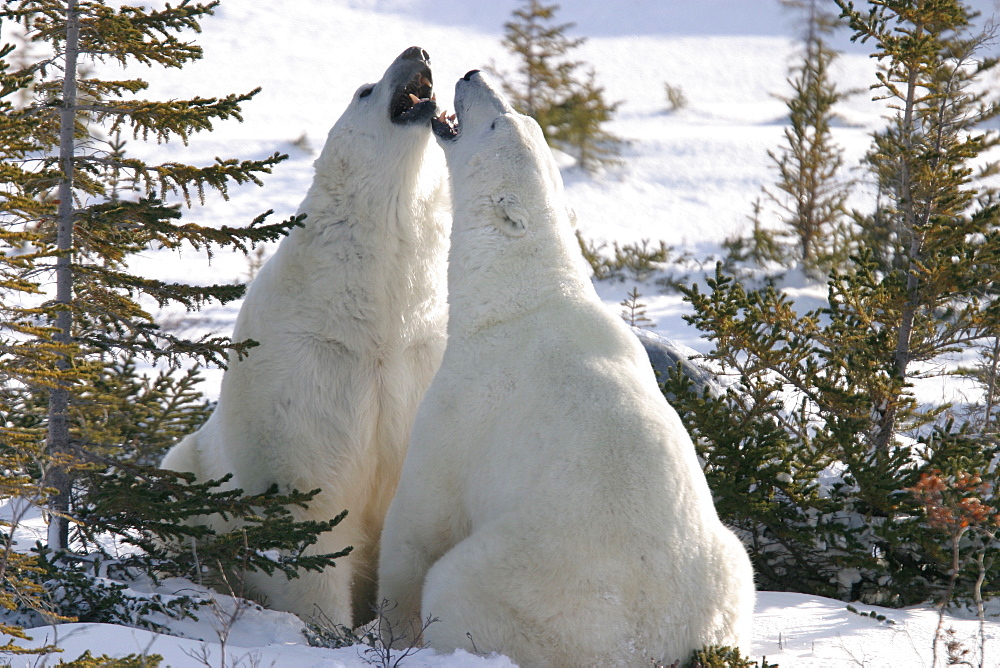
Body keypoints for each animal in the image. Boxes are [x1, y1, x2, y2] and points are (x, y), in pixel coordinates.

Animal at [161, 45, 450, 628]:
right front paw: (329, 630)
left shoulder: (421, 359)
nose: (418, 51)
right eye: (364, 90)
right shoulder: (306, 367)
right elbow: (314, 511)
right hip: (188, 471)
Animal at [378, 70, 752, 664]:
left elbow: (420, 518)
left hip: (533, 585)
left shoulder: (465, 404)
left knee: (457, 586)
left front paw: (384, 628)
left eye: (497, 122)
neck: (520, 296)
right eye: (518, 114)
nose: (471, 75)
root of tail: (649, 644)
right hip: (728, 572)